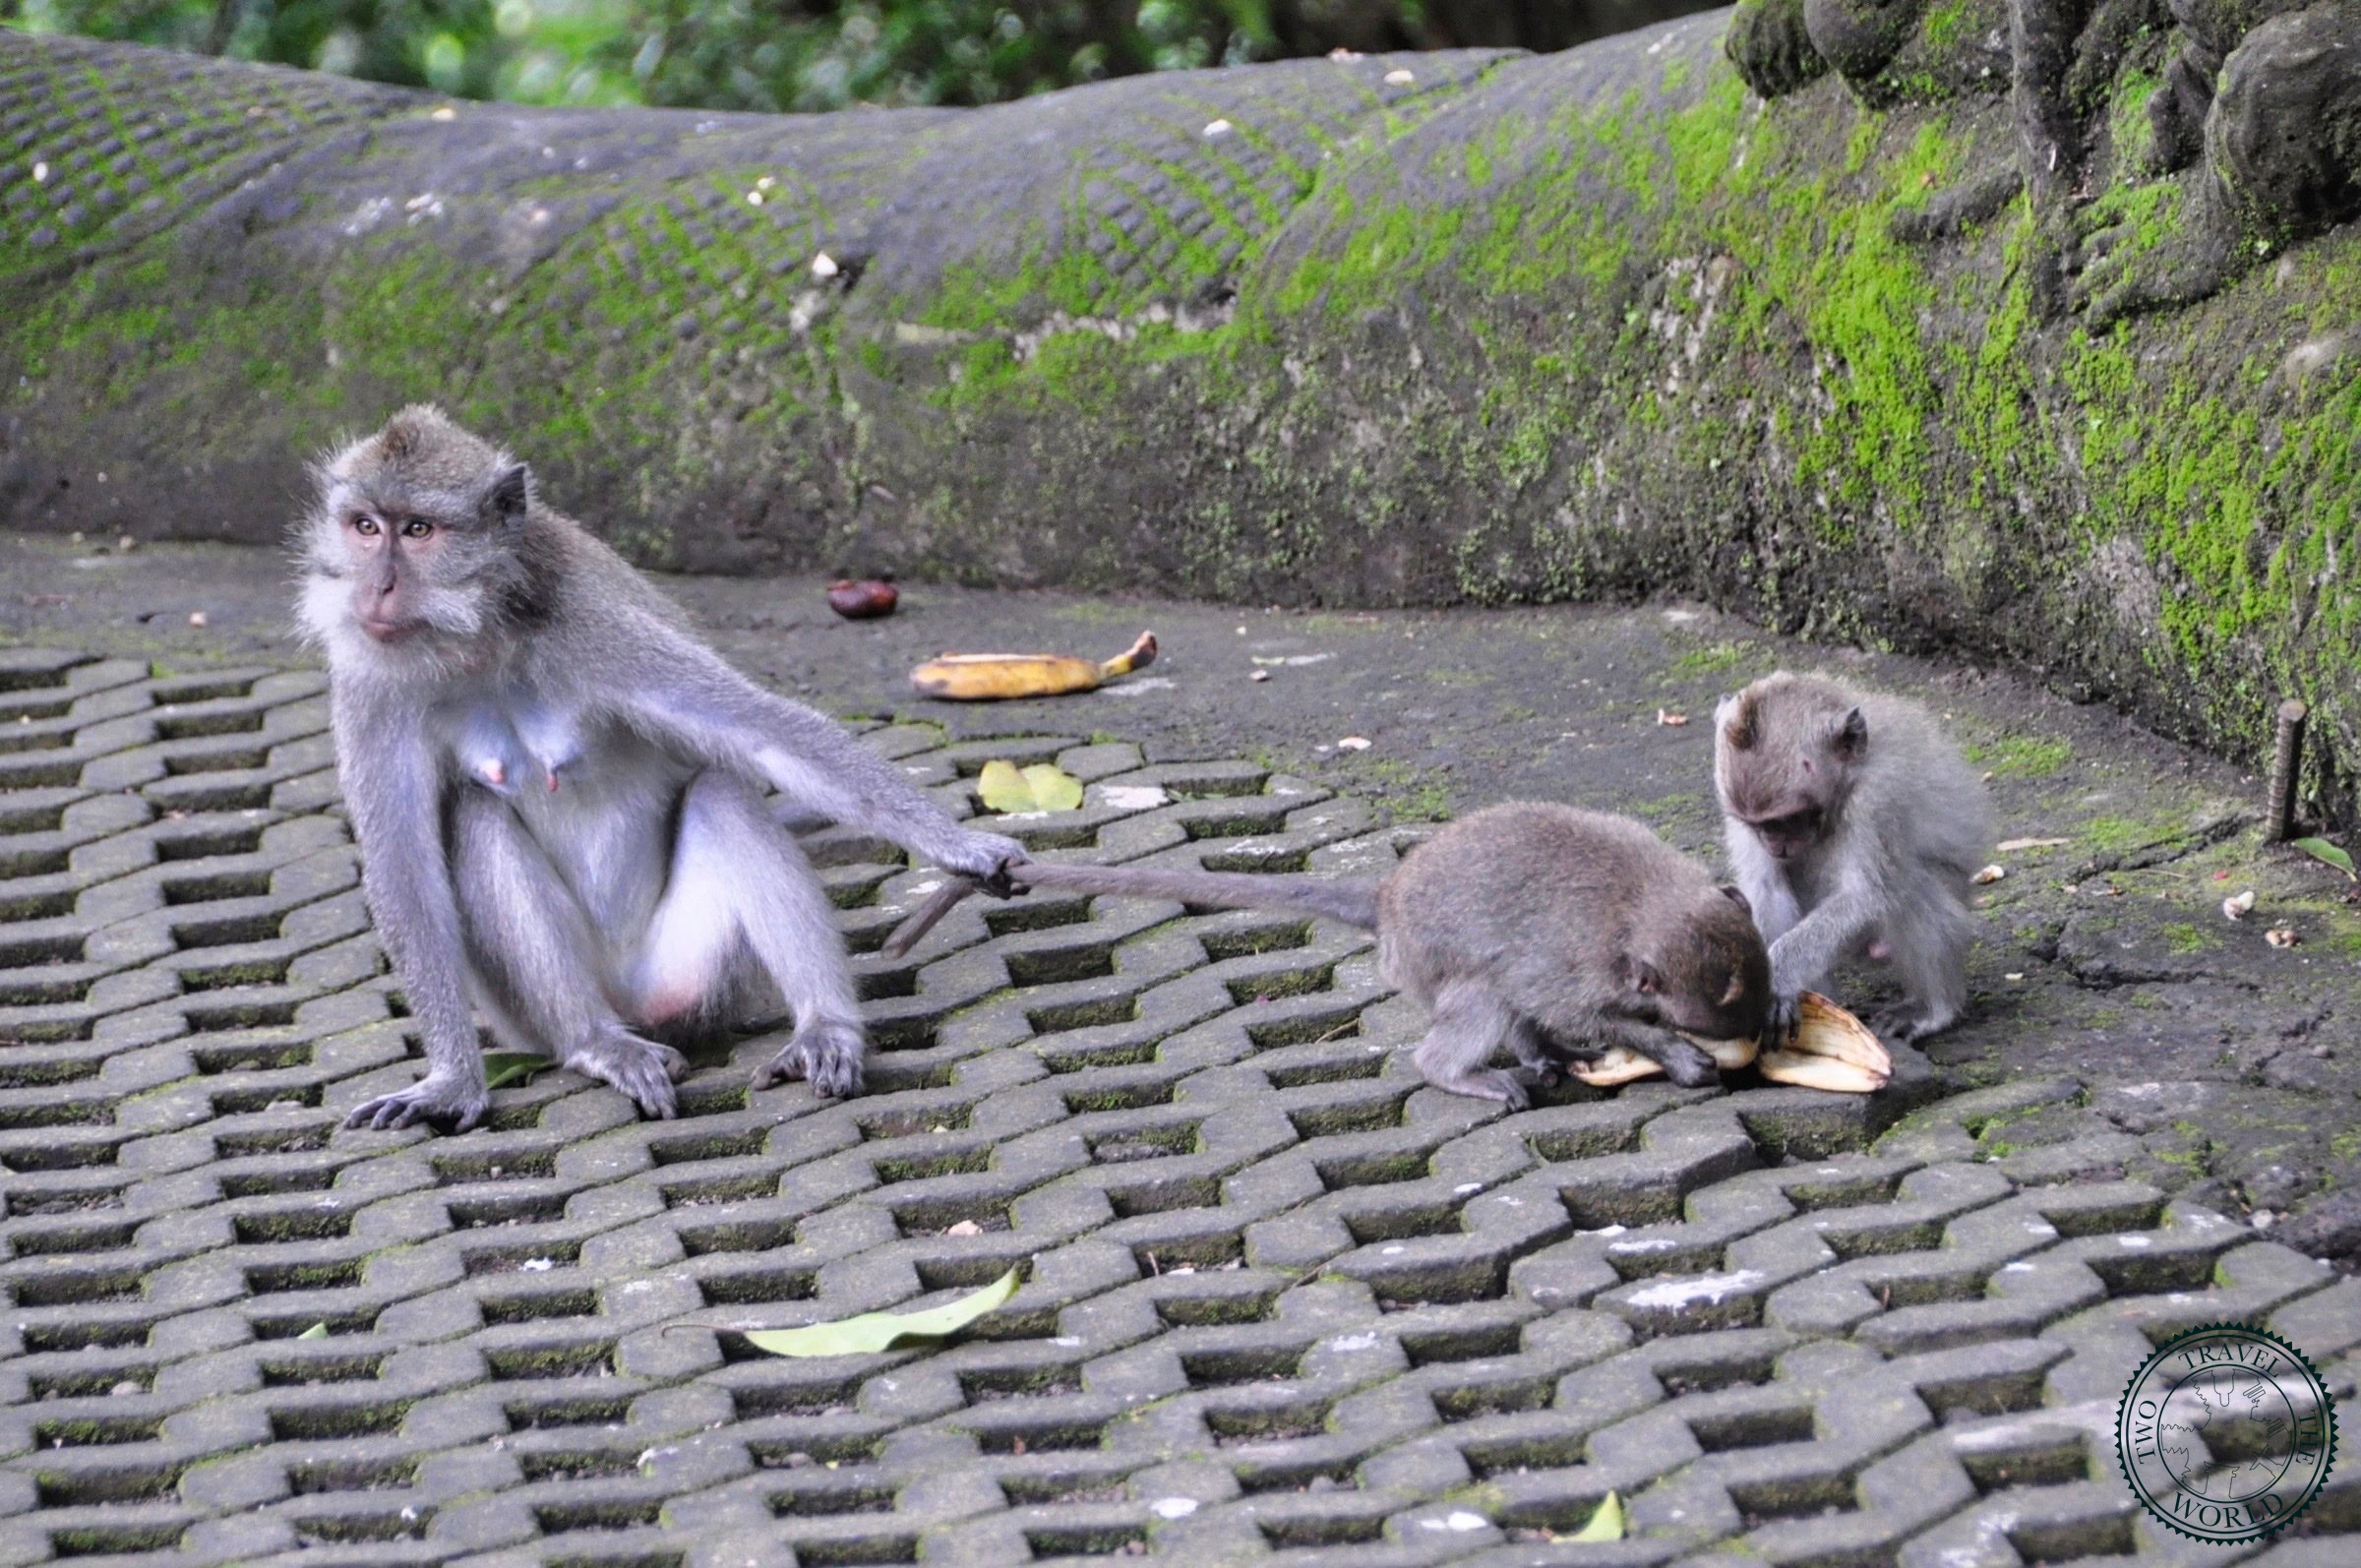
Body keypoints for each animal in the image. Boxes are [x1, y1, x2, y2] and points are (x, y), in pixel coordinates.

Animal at [297, 405, 1024, 1134]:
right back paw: (597, 1042)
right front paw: (450, 1081)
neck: (478, 639)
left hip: (702, 976)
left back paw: (826, 1027)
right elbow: (404, 869)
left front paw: (960, 845)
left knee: (722, 795)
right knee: (476, 815)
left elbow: (765, 735)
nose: (377, 587)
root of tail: (636, 1005)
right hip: (524, 1019)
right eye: (365, 526)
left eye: (418, 530)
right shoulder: (371, 682)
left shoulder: (595, 630)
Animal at [885, 802, 1771, 1108]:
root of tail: (1385, 898)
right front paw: (1675, 1054)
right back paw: (1465, 1072)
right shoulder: (1581, 971)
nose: (1760, 1032)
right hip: (1430, 960)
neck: (1647, 903)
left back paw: (1537, 1057)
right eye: (1725, 1010)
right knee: (1482, 1001)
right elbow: (1594, 1011)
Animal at [1713, 672, 1994, 1045]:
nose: (1774, 843)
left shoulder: (1877, 797)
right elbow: (1768, 889)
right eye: (1759, 825)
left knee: (1910, 889)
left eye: (1788, 818)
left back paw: (1933, 1008)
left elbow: (1866, 897)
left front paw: (1778, 976)